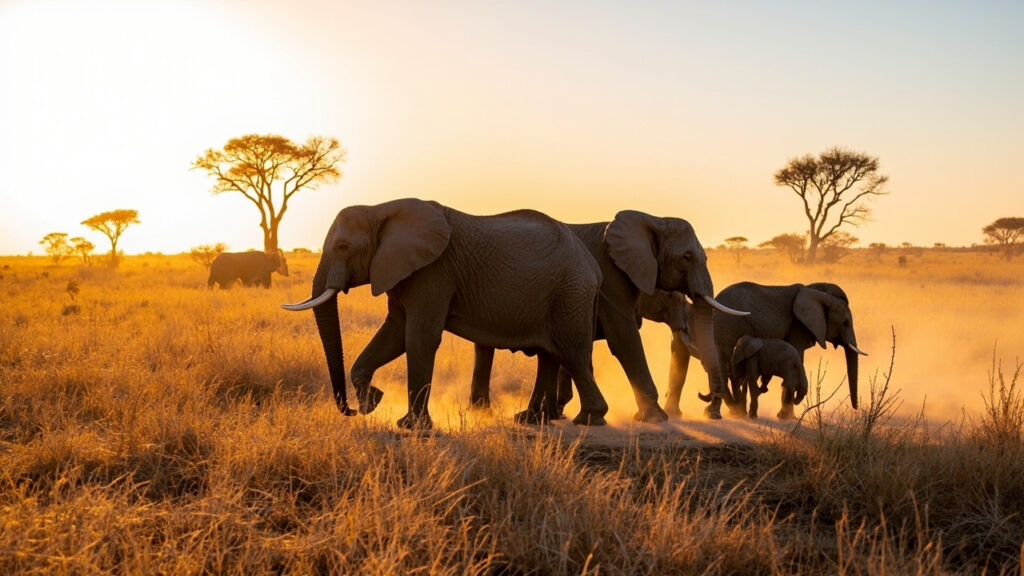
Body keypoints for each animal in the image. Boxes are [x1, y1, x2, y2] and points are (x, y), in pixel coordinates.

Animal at [281, 198, 609, 430]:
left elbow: (419, 338)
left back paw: (590, 419)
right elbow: (394, 334)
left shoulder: (434, 271)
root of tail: (593, 265)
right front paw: (373, 400)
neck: (380, 209)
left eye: (343, 246)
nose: (351, 410)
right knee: (548, 355)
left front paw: (410, 426)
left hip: (570, 293)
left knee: (573, 355)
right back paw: (530, 419)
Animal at [468, 211, 747, 421]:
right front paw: (655, 418)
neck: (651, 219)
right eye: (686, 258)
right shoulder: (610, 278)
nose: (710, 409)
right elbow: (622, 338)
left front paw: (558, 413)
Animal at [665, 282, 867, 420]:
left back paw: (734, 411)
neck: (817, 292)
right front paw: (788, 416)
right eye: (844, 323)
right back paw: (729, 412)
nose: (856, 408)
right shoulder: (798, 326)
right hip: (728, 327)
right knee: (726, 365)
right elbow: (796, 355)